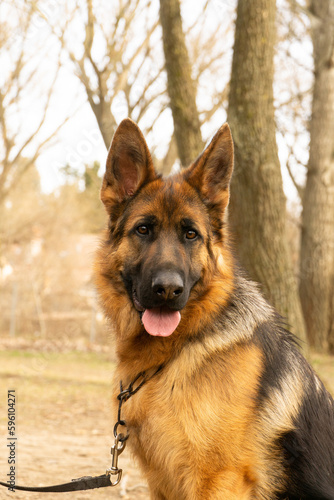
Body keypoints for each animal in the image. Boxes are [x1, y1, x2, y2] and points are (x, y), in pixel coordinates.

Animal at [94, 119, 334, 498]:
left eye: (190, 235)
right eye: (143, 229)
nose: (168, 289)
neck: (180, 352)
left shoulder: (219, 480)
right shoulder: (162, 483)